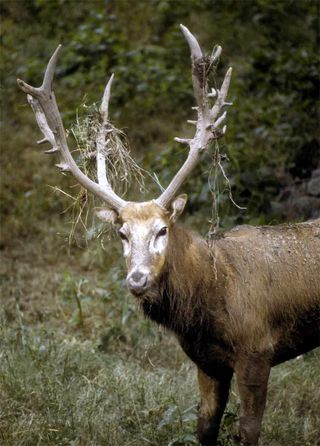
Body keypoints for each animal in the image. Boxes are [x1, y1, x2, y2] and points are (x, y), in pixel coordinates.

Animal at [18, 25, 320, 446]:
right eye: (122, 233)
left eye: (162, 229)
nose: (137, 279)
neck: (212, 302)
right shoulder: (207, 363)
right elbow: (204, 427)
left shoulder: (258, 352)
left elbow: (248, 431)